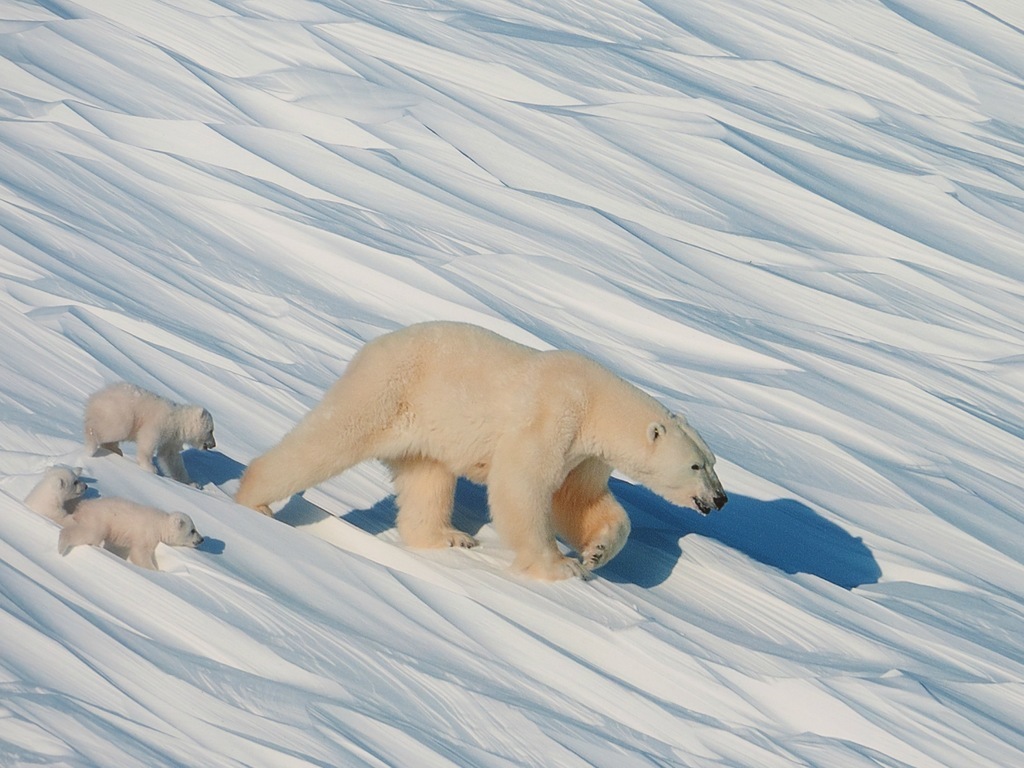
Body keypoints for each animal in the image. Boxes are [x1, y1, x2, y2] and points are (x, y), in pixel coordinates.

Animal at [235, 321, 724, 581]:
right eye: (695, 465)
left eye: (713, 462)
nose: (720, 499)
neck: (597, 403)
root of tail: (371, 346)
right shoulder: (553, 416)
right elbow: (523, 485)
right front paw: (559, 566)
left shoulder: (585, 454)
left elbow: (578, 499)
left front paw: (596, 553)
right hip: (389, 392)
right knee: (327, 441)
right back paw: (254, 499)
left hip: (427, 429)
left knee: (428, 480)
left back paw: (449, 536)